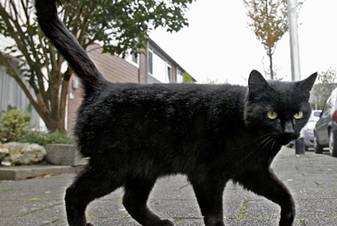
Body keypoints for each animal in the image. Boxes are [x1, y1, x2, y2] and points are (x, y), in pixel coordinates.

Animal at [35, 0, 316, 225]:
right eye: (271, 115)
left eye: (298, 115)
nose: (289, 132)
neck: (251, 137)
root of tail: (103, 86)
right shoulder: (206, 177)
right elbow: (214, 216)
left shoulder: (253, 172)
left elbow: (286, 196)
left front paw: (287, 219)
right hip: (111, 167)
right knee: (74, 194)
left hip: (142, 169)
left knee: (131, 201)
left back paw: (159, 224)